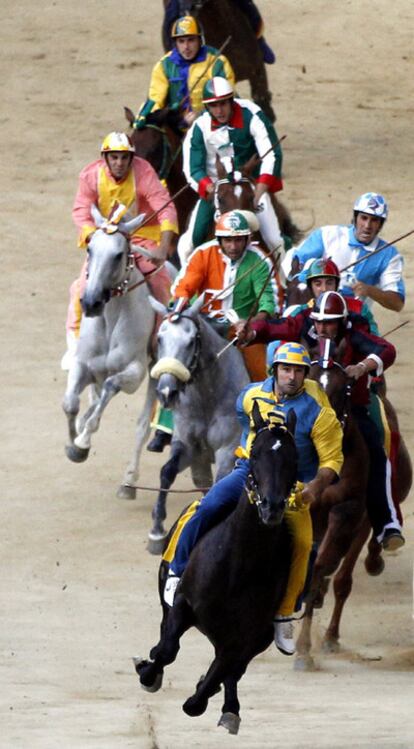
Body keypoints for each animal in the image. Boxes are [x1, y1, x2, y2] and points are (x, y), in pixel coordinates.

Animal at [62, 207, 156, 488]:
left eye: (118, 255)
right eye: (90, 249)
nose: (91, 302)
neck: (111, 318)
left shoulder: (135, 373)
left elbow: (112, 386)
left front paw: (82, 441)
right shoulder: (83, 365)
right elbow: (70, 403)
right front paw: (73, 443)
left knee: (142, 425)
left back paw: (129, 480)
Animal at [135, 404, 298, 732]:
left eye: (294, 457)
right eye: (255, 453)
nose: (271, 507)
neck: (239, 565)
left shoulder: (245, 634)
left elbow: (219, 675)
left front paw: (204, 695)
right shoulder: (184, 602)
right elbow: (168, 648)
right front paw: (148, 672)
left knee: (233, 671)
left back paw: (229, 708)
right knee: (165, 631)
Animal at [145, 296, 249, 552]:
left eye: (191, 341)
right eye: (159, 338)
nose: (166, 392)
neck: (207, 396)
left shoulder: (227, 449)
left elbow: (220, 484)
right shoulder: (190, 447)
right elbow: (167, 471)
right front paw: (157, 530)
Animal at [294, 342, 410, 668]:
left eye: (344, 387)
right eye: (309, 382)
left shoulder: (347, 510)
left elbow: (323, 566)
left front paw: (304, 649)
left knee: (344, 576)